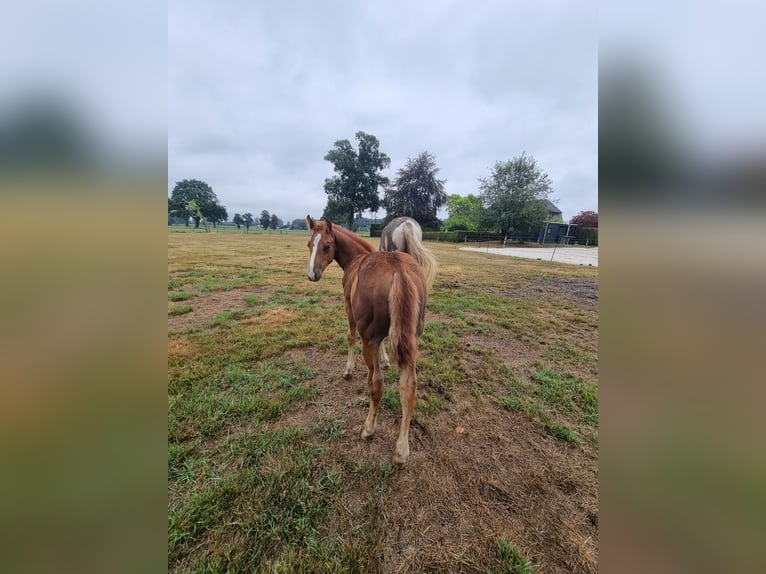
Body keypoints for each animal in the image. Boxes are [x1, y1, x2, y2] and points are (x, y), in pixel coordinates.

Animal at [305, 216, 427, 464]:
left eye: (326, 246)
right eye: (309, 245)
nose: (312, 275)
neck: (356, 258)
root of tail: (399, 271)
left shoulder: (350, 310)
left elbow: (350, 336)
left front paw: (348, 370)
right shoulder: (383, 334)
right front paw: (386, 360)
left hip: (367, 338)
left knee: (376, 383)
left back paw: (369, 428)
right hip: (412, 337)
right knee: (409, 388)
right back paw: (402, 449)